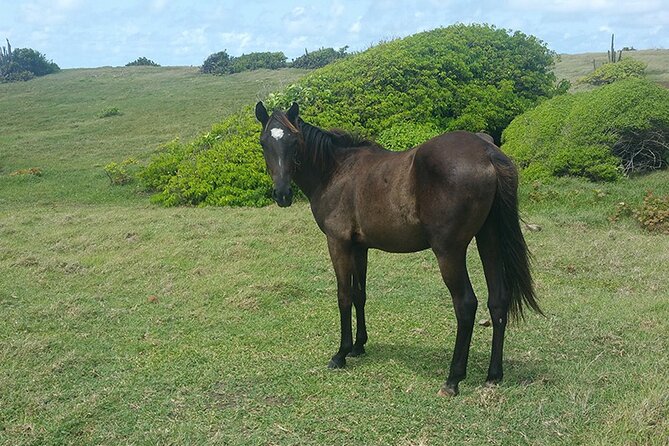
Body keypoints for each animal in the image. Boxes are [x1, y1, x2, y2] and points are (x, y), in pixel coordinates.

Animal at [253, 101, 540, 394]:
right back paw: (494, 374)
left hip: (449, 251)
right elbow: (359, 294)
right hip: (488, 239)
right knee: (498, 300)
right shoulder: (360, 247)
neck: (336, 172)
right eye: (264, 142)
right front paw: (358, 346)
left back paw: (453, 379)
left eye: (293, 141)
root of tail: (487, 151)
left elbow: (343, 296)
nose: (282, 195)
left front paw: (341, 354)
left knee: (466, 305)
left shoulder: (338, 243)